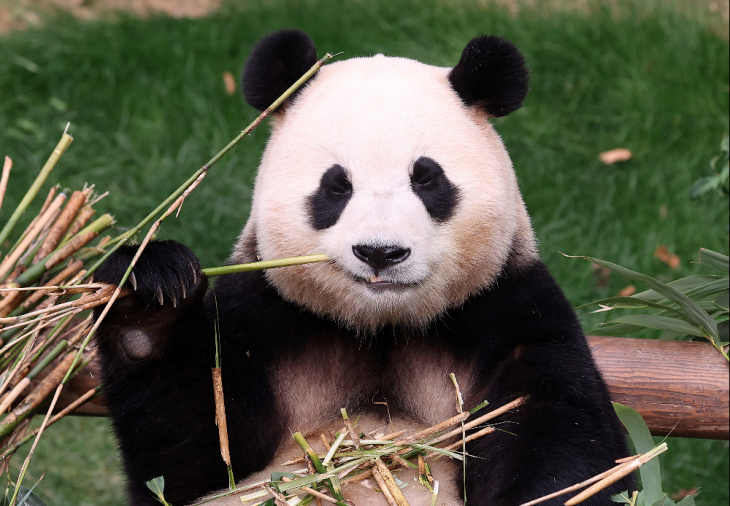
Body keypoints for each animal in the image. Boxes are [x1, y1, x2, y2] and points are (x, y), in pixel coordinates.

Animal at [95, 29, 632, 504]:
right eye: (336, 186)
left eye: (427, 180)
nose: (380, 252)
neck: (380, 328)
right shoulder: (262, 319)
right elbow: (195, 456)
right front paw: (148, 294)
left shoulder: (506, 311)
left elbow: (561, 435)